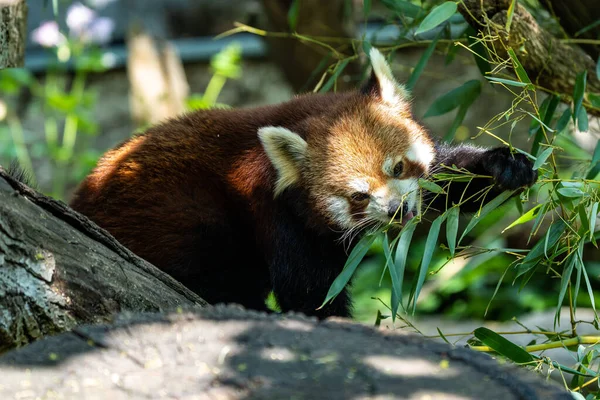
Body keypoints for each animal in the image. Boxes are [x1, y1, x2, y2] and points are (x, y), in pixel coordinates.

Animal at [70, 49, 536, 318]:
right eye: (358, 196)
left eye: (399, 168)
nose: (396, 210)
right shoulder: (276, 214)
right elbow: (309, 293)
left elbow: (448, 180)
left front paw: (502, 165)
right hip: (179, 209)